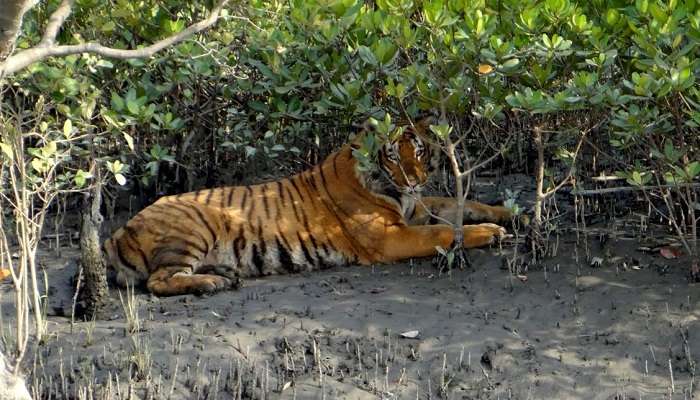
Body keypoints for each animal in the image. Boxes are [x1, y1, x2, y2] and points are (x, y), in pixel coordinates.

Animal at [104, 117, 512, 296]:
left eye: (420, 151)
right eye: (394, 156)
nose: (414, 179)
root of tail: (116, 233)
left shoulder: (415, 209)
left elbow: (458, 203)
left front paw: (505, 213)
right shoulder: (391, 237)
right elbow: (442, 231)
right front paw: (492, 233)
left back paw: (225, 274)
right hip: (192, 228)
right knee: (158, 281)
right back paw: (212, 283)